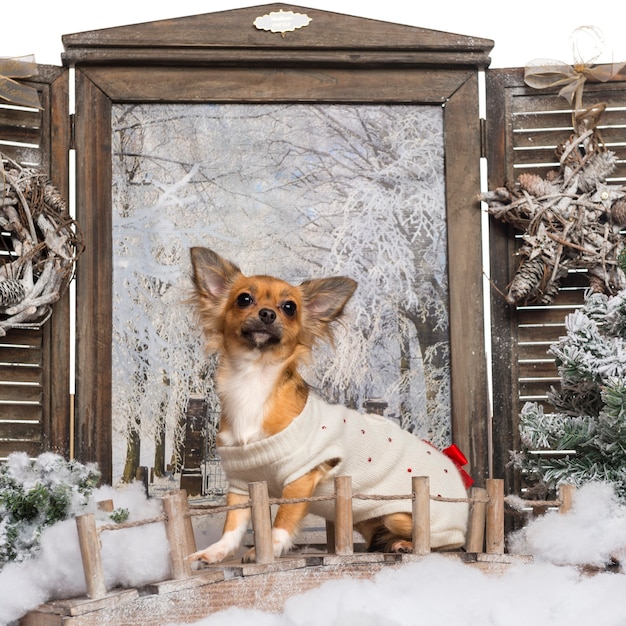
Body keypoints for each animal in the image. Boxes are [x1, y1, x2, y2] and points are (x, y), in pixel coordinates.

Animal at [188, 246, 466, 564]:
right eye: (244, 299)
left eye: (290, 307)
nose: (268, 314)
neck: (253, 381)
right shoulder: (242, 483)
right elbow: (233, 524)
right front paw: (216, 551)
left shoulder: (301, 478)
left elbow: (282, 519)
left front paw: (270, 547)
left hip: (403, 514)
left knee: (444, 543)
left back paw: (406, 544)